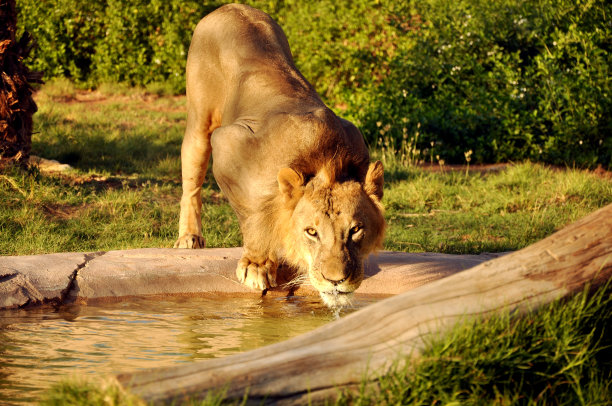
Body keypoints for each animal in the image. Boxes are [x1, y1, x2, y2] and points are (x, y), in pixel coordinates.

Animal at [175, 3, 384, 308]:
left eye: (355, 229)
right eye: (312, 232)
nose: (336, 280)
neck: (326, 160)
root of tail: (231, 6)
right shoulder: (228, 144)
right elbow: (252, 216)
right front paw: (257, 264)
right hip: (200, 122)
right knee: (191, 183)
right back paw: (189, 237)